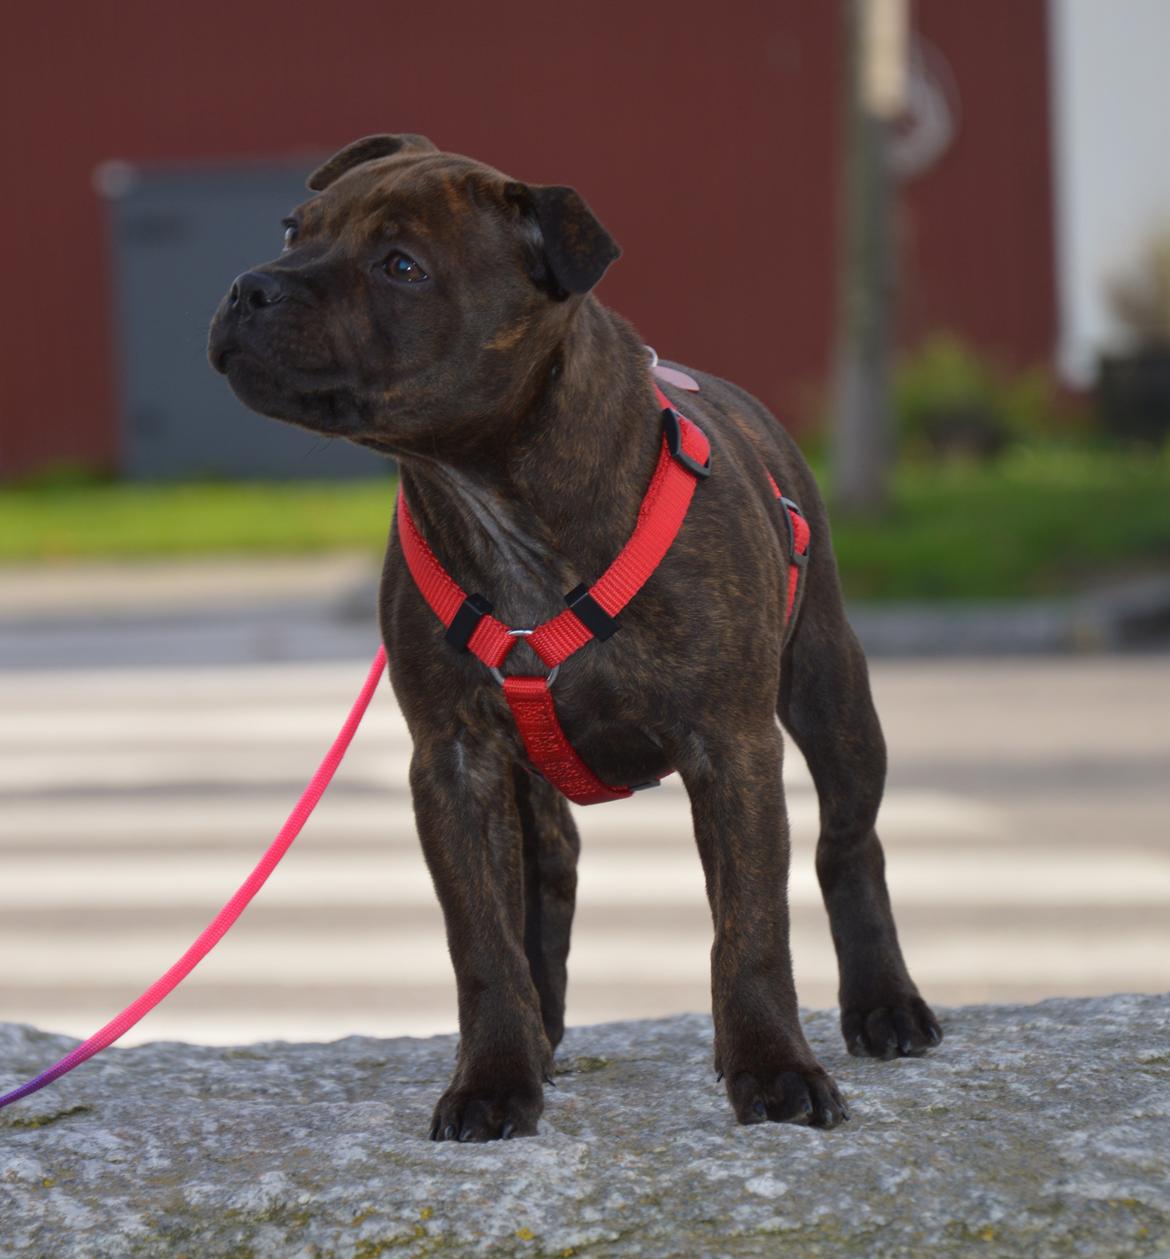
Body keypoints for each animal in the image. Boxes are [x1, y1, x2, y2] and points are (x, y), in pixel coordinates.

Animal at [207, 135, 942, 1143]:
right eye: (293, 231)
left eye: (401, 266)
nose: (250, 287)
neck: (496, 491)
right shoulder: (456, 761)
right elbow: (483, 938)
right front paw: (492, 1076)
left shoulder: (732, 747)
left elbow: (751, 926)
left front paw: (774, 1067)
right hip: (532, 779)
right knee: (548, 879)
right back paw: (540, 1035)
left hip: (831, 689)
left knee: (849, 840)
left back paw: (884, 1003)